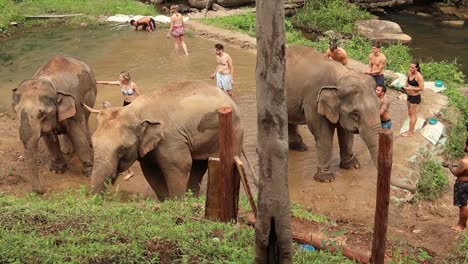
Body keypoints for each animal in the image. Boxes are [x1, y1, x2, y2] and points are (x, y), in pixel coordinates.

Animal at [11, 55, 97, 193]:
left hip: (91, 95)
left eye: (42, 114)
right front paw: (57, 170)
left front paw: (88, 173)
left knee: (86, 119)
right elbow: (49, 139)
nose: (41, 191)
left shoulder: (75, 103)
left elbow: (77, 135)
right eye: (16, 111)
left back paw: (88, 144)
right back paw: (67, 151)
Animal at [85, 80, 245, 200]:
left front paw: (178, 203)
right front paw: (166, 202)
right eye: (93, 143)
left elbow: (181, 165)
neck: (135, 110)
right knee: (199, 165)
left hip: (234, 132)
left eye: (122, 149)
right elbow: (151, 171)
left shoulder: (171, 140)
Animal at [284, 44, 382, 182]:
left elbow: (346, 132)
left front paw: (352, 166)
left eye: (379, 106)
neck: (340, 75)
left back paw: (300, 148)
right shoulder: (314, 101)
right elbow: (323, 134)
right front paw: (326, 179)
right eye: (355, 114)